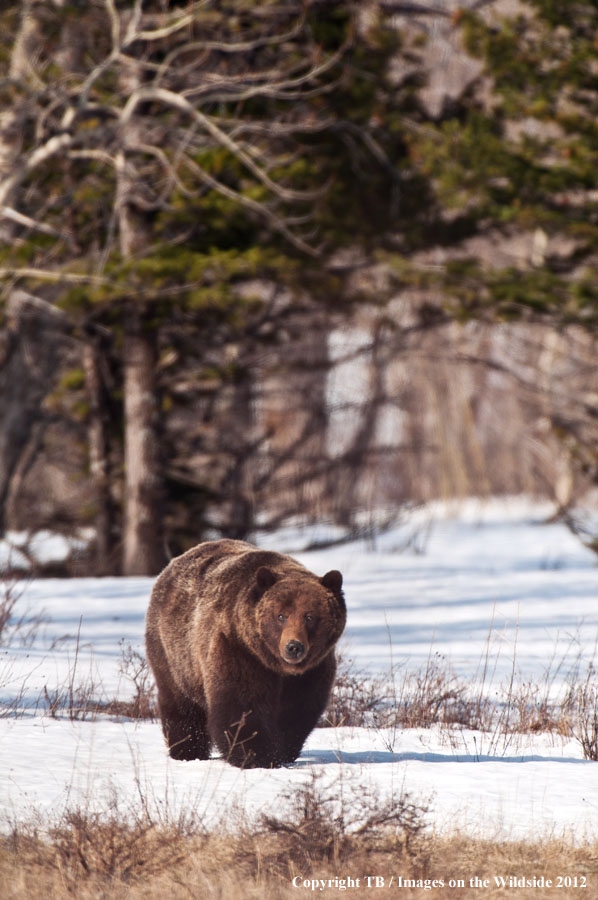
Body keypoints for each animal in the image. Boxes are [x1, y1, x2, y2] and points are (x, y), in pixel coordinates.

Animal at [145, 539, 346, 769]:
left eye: (310, 616)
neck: (276, 665)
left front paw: (282, 751)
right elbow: (241, 706)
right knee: (181, 703)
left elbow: (297, 711)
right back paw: (187, 750)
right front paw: (256, 756)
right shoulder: (238, 650)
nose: (293, 647)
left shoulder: (312, 670)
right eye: (281, 616)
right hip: (175, 654)